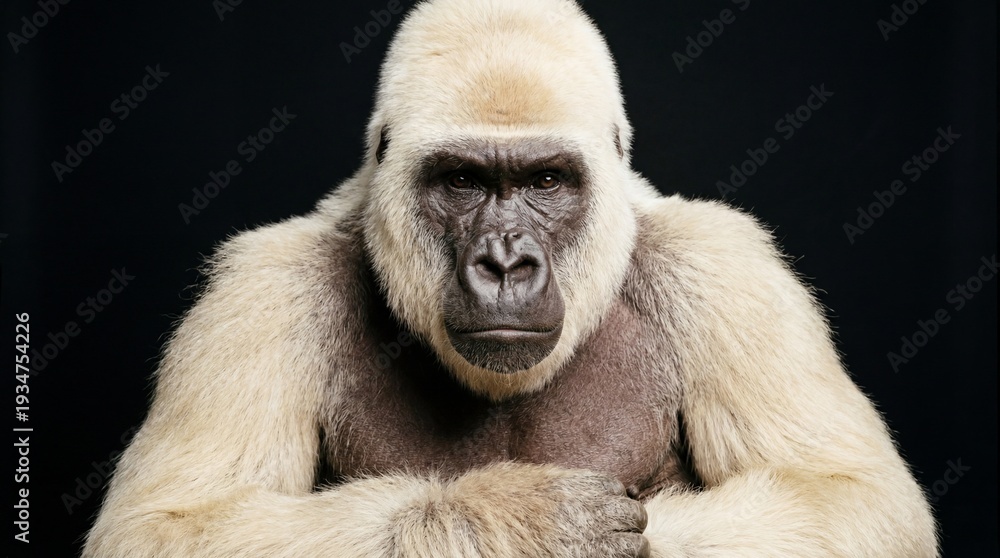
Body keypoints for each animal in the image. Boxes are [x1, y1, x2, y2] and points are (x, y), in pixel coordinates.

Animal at [83, 0, 938, 556]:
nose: (503, 264)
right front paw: (509, 526)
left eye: (546, 181)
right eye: (463, 181)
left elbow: (852, 500)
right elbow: (170, 522)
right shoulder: (267, 292)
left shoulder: (723, 272)